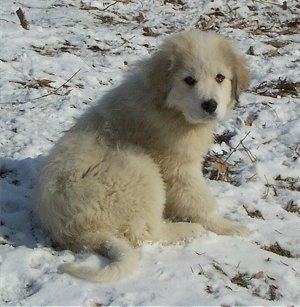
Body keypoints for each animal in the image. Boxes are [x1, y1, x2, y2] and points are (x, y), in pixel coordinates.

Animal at [32, 30, 250, 282]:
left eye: (220, 77)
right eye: (189, 80)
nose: (210, 105)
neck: (169, 108)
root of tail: (79, 234)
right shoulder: (178, 168)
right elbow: (200, 201)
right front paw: (228, 226)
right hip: (138, 169)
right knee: (144, 234)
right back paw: (187, 229)